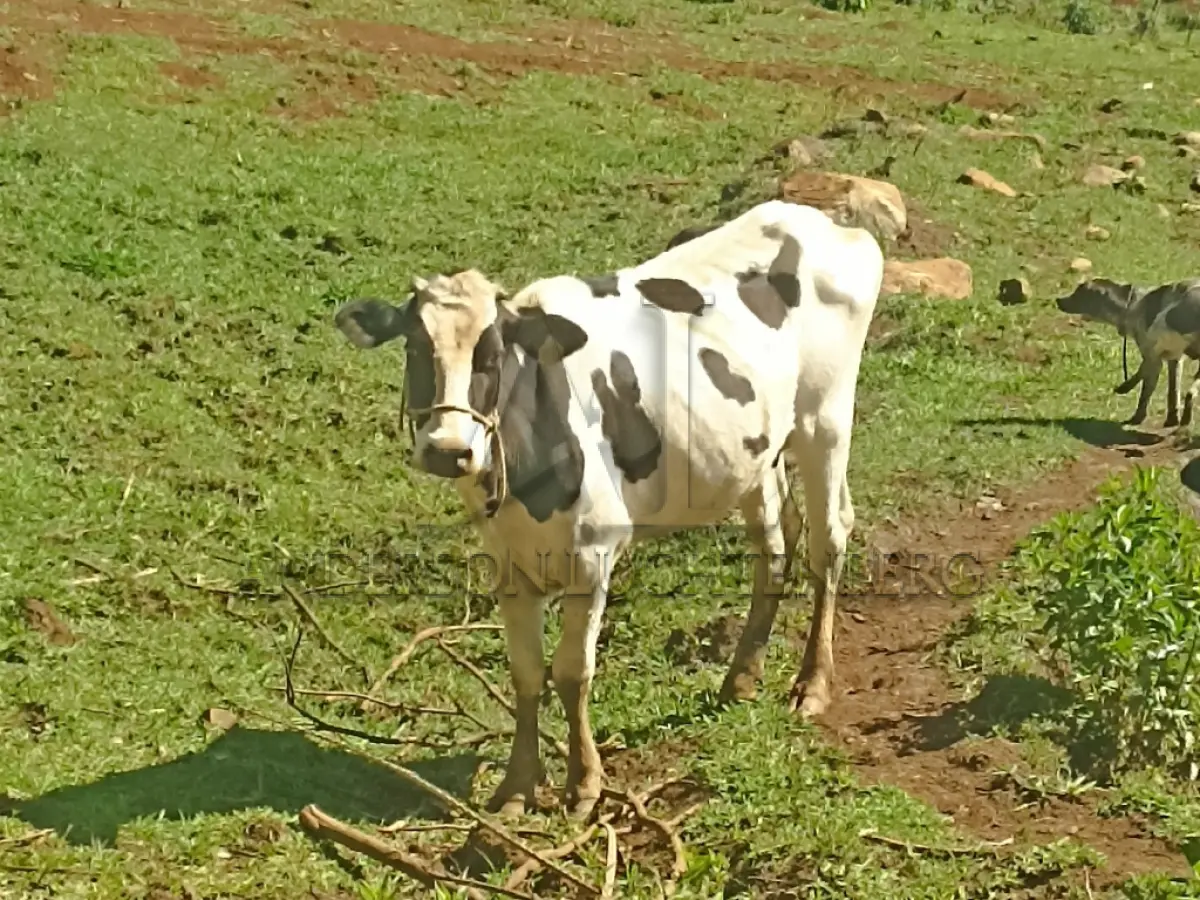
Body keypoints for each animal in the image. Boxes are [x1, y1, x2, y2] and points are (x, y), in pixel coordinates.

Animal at [333, 200, 884, 820]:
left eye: (493, 356)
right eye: (414, 348)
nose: (449, 449)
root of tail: (818, 219)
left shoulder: (592, 555)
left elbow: (572, 672)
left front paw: (583, 784)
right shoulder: (508, 563)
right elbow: (527, 672)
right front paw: (516, 787)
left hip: (825, 422)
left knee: (827, 540)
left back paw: (811, 684)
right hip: (757, 450)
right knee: (774, 542)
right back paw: (741, 677)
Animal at [1056, 278, 1200, 428]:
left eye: (1077, 294)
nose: (1058, 300)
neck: (1131, 305)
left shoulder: (1154, 358)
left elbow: (1144, 393)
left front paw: (1136, 417)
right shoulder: (1173, 359)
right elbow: (1172, 391)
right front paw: (1172, 420)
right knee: (1190, 392)